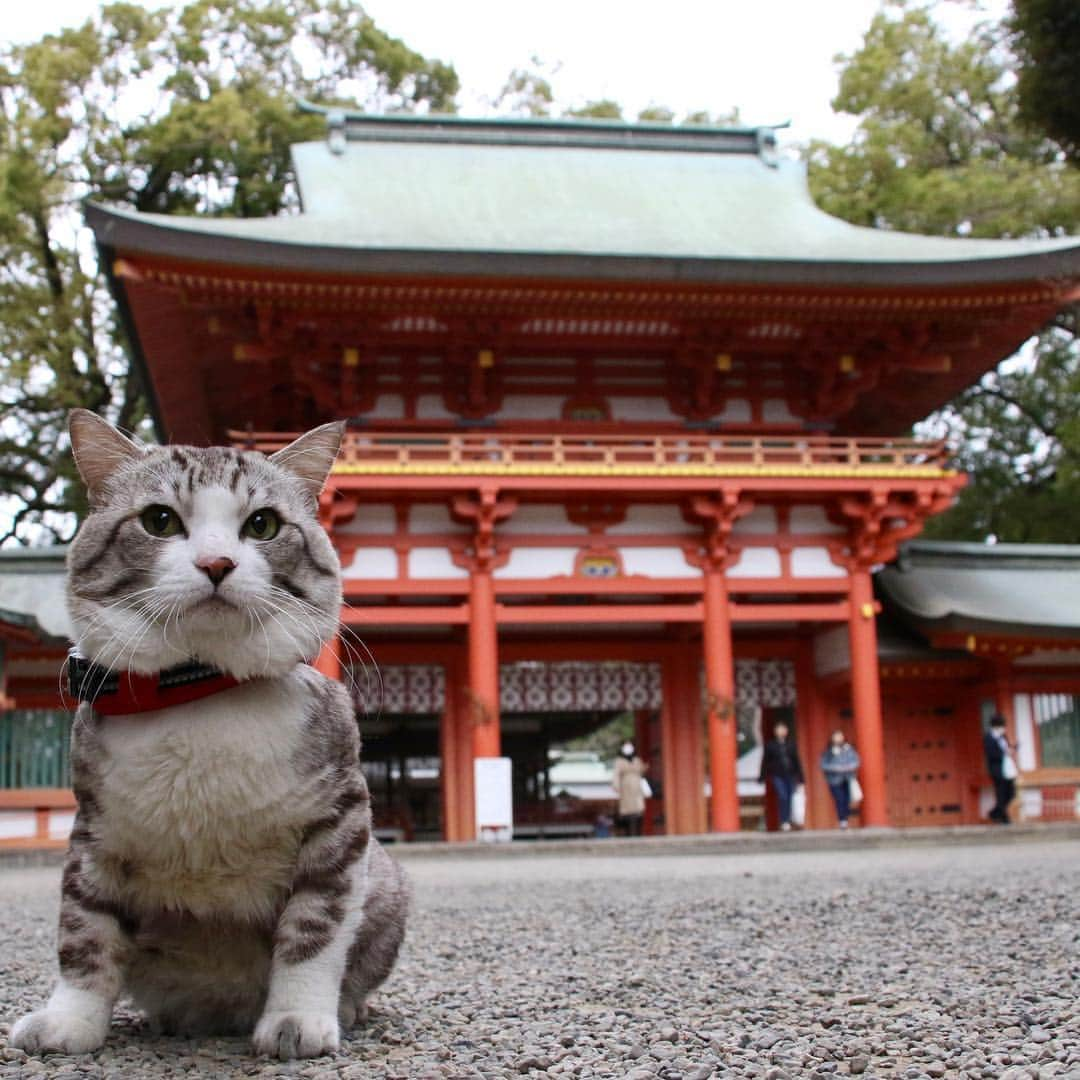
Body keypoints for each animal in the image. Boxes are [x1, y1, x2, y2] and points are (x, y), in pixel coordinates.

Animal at [7, 408, 408, 1058]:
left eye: (264, 524)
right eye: (159, 520)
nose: (217, 564)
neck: (199, 693)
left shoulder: (341, 818)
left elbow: (314, 928)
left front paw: (297, 1021)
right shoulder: (95, 829)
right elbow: (84, 934)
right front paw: (67, 1023)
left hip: (389, 881)